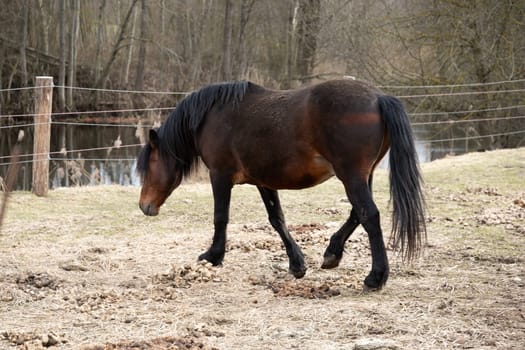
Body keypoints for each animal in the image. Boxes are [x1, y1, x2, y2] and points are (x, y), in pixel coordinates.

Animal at [137, 80, 424, 290]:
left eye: (148, 166)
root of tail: (378, 97)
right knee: (357, 214)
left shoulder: (219, 176)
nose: (144, 206)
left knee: (369, 216)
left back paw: (376, 277)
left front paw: (213, 256)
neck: (212, 116)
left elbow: (221, 217)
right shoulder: (263, 181)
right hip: (363, 175)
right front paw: (297, 264)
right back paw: (332, 253)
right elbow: (277, 219)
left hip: (351, 176)